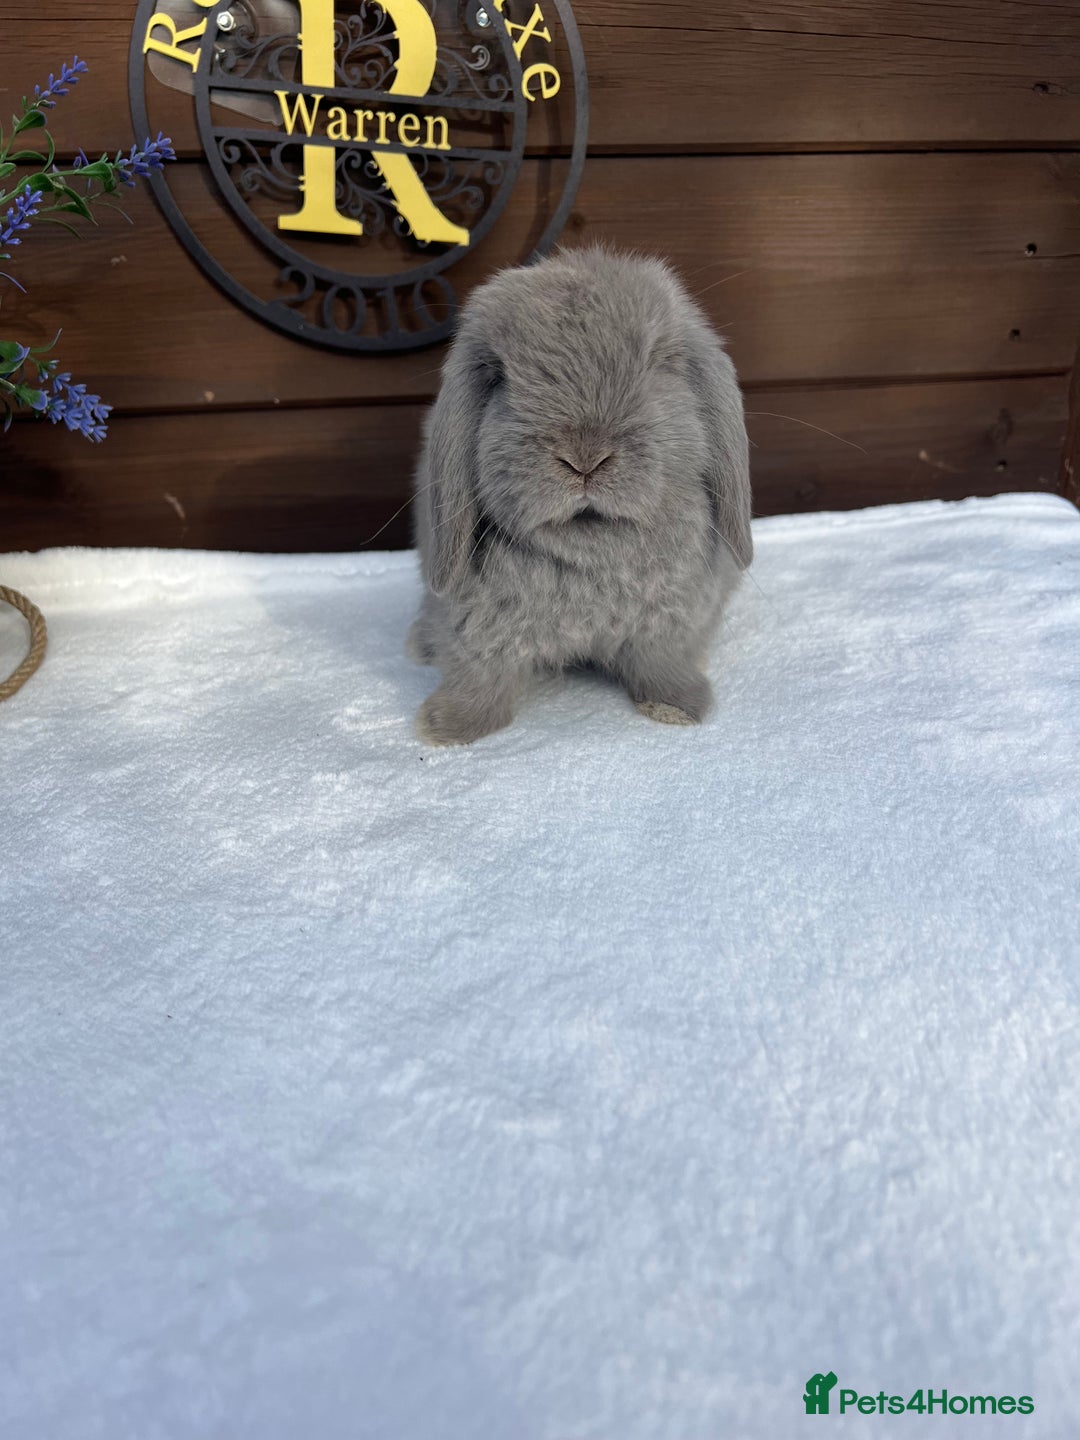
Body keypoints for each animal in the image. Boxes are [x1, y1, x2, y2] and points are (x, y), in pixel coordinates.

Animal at [407, 244, 753, 746]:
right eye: (499, 376)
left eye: (658, 362)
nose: (584, 458)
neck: (592, 556)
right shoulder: (477, 629)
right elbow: (482, 677)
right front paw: (448, 728)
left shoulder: (670, 626)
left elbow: (661, 665)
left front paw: (676, 708)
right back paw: (419, 645)